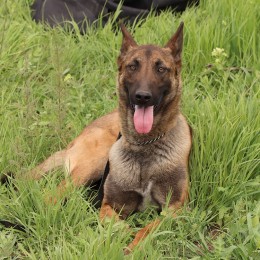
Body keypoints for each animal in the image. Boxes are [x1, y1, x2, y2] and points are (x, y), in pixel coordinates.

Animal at [27, 22, 192, 254]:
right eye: (132, 66)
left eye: (161, 69)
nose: (142, 96)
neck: (145, 145)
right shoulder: (109, 205)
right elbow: (113, 221)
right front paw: (124, 235)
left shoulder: (175, 207)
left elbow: (148, 229)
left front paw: (135, 246)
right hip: (94, 163)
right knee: (50, 196)